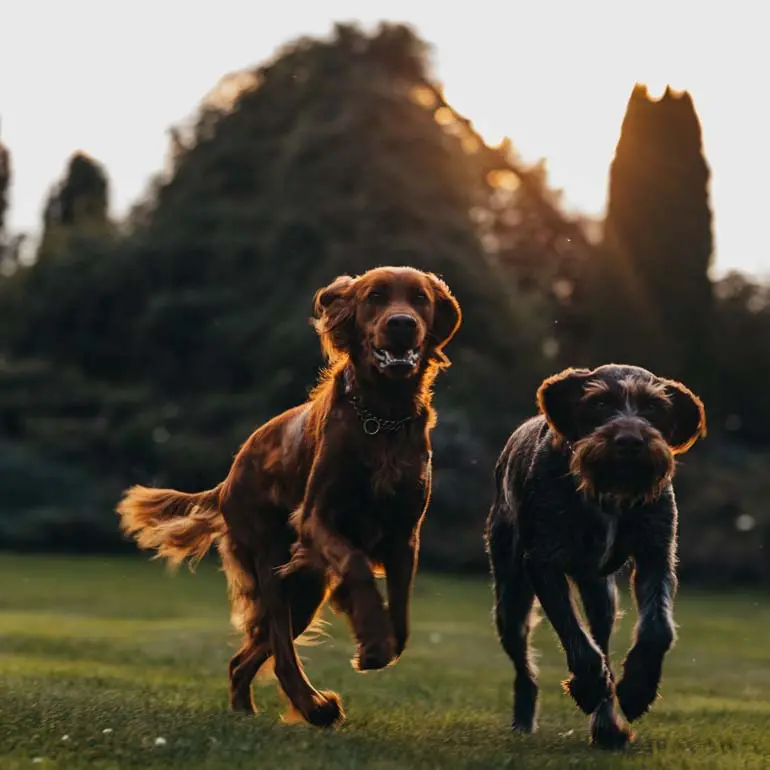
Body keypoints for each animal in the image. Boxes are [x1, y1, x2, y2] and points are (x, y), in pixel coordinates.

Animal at [117, 266, 460, 728]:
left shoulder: (405, 533)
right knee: (278, 652)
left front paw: (377, 637)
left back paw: (251, 708)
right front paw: (372, 642)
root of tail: (228, 479)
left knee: (245, 659)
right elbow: (356, 566)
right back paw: (314, 707)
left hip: (305, 589)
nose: (402, 324)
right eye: (374, 297)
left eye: (420, 298)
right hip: (273, 561)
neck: (382, 417)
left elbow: (401, 616)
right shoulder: (315, 519)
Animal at [484, 364, 704, 748]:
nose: (630, 441)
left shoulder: (656, 553)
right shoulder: (543, 561)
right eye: (600, 403)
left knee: (601, 637)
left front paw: (637, 687)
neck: (610, 491)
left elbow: (657, 629)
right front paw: (588, 686)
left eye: (652, 407)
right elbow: (574, 635)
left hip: (603, 597)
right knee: (525, 666)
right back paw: (526, 719)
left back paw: (607, 724)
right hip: (510, 599)